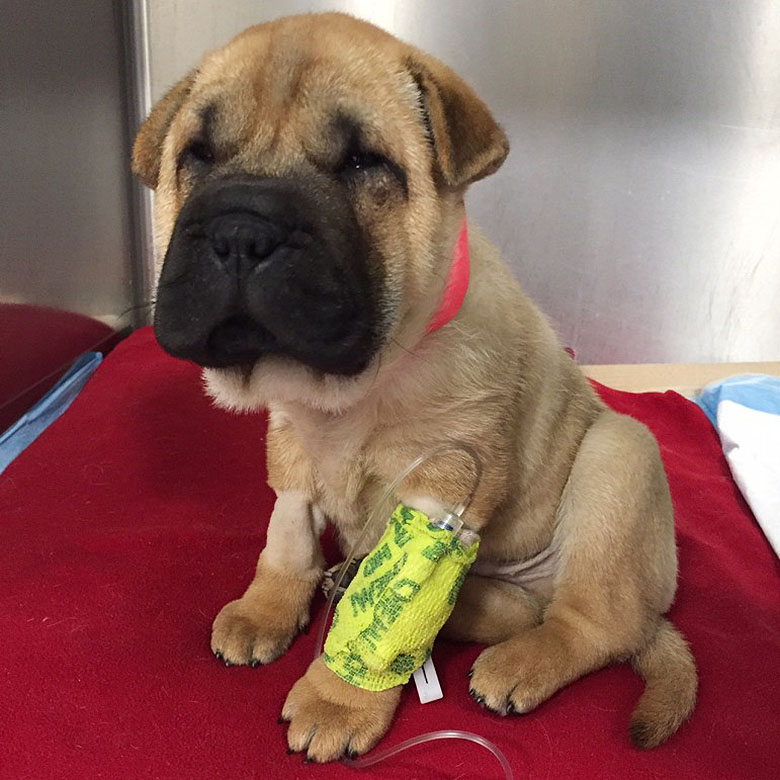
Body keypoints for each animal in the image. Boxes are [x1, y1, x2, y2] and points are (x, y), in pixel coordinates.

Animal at [131, 12, 696, 764]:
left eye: (363, 163)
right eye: (197, 153)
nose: (241, 232)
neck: (352, 389)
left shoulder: (442, 489)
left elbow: (392, 608)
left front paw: (339, 701)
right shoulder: (291, 445)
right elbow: (287, 533)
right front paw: (269, 606)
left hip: (619, 457)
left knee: (591, 622)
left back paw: (518, 664)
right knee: (521, 608)